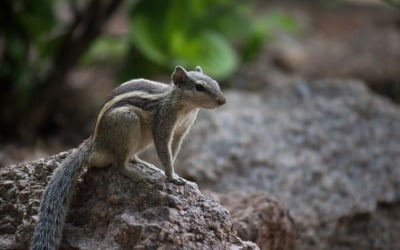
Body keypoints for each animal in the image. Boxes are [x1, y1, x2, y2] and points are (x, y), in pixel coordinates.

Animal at [30, 65, 225, 249]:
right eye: (199, 87)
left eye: (216, 82)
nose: (222, 101)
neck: (183, 105)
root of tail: (95, 143)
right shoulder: (163, 125)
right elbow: (164, 151)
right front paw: (171, 177)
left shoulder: (180, 132)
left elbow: (173, 152)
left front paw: (175, 174)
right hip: (128, 121)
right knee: (119, 165)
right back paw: (138, 175)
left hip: (140, 138)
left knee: (129, 157)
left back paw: (144, 164)